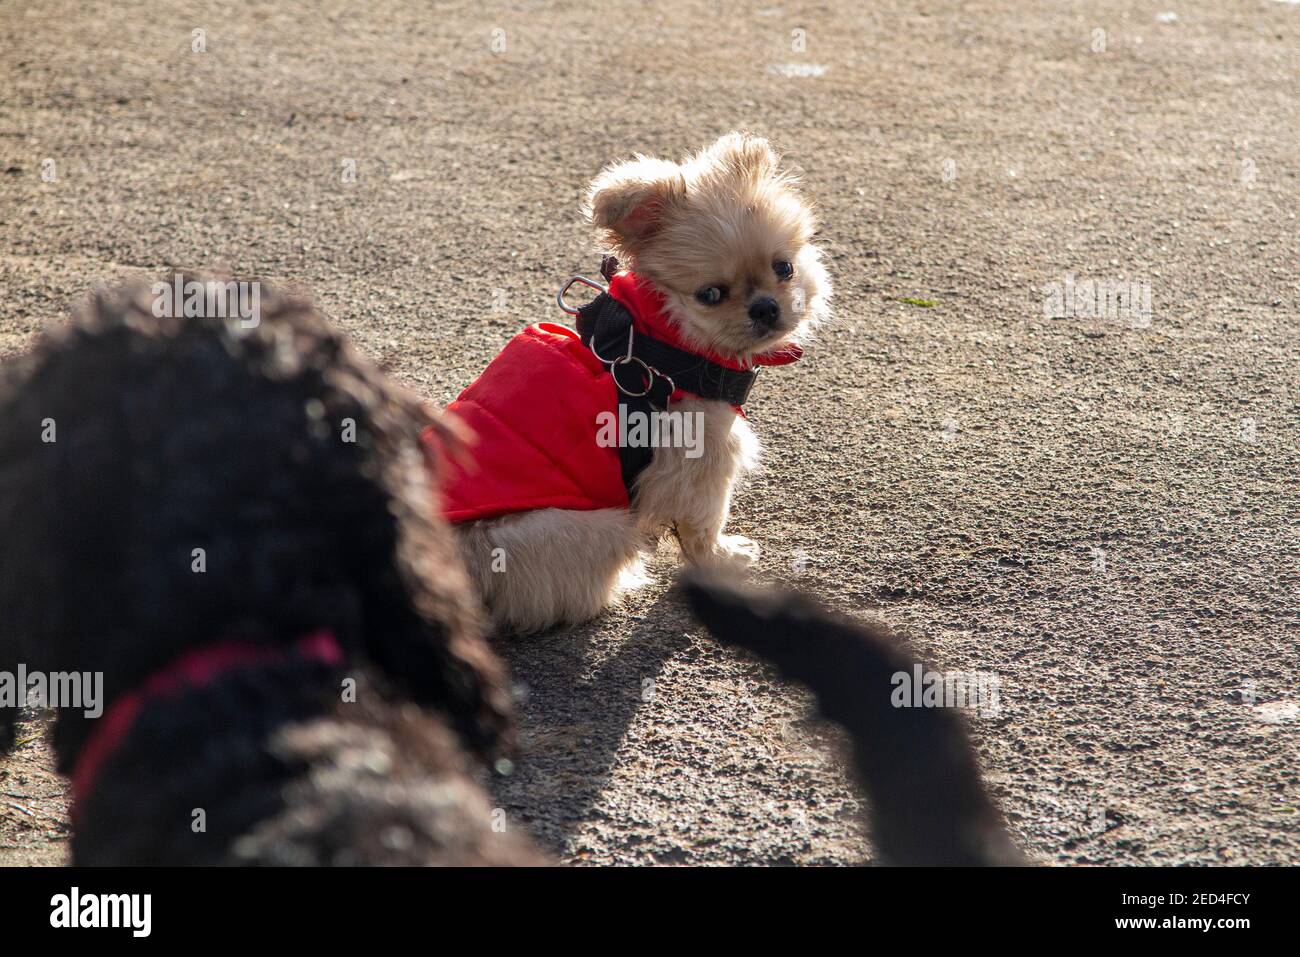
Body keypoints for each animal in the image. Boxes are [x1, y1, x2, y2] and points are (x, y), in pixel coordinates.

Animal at [452, 132, 826, 629]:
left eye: (784, 267)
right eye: (711, 294)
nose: (765, 307)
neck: (666, 340)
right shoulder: (701, 460)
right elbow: (704, 523)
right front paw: (724, 558)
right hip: (593, 528)